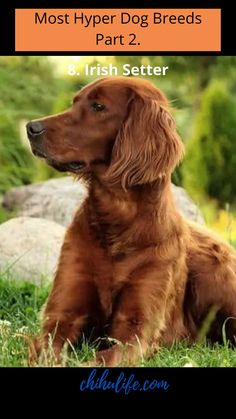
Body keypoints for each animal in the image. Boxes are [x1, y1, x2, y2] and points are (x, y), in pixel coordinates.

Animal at [26, 77, 236, 366]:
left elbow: (105, 357)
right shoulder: (62, 316)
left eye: (98, 106)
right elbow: (49, 349)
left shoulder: (135, 329)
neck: (118, 221)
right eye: (74, 102)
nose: (30, 127)